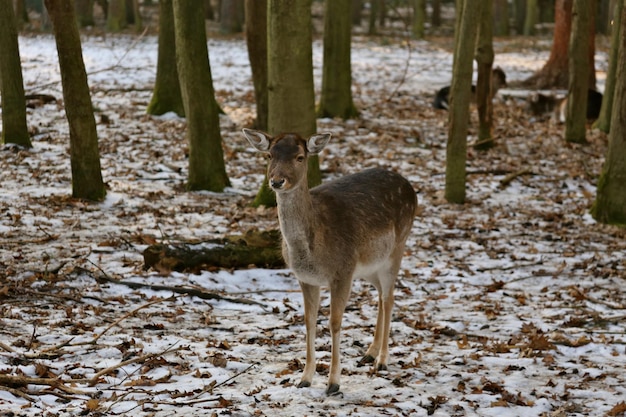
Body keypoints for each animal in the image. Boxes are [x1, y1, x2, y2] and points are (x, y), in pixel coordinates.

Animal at [241, 128, 416, 394]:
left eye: (300, 157)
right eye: (269, 155)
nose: (277, 181)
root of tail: (411, 187)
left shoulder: (342, 271)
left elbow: (334, 322)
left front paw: (333, 383)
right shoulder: (306, 278)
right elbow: (309, 321)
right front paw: (304, 378)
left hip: (397, 248)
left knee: (389, 298)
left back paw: (382, 360)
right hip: (369, 265)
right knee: (380, 296)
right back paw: (369, 353)